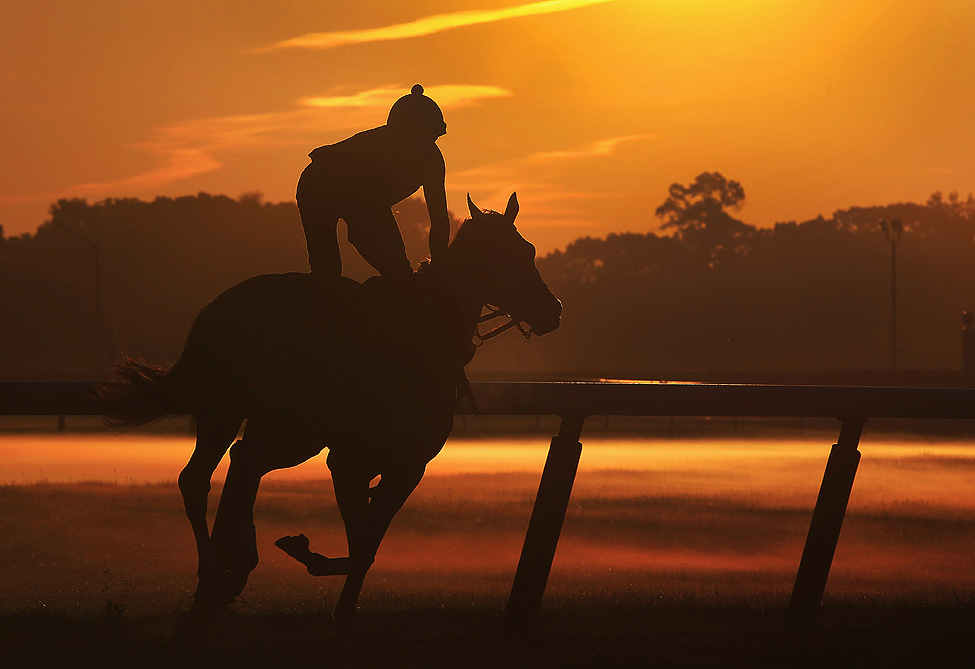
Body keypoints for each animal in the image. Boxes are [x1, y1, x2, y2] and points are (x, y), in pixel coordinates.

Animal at [97, 193, 564, 628]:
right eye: (513, 256)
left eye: (530, 249)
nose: (553, 311)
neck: (426, 335)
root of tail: (214, 310)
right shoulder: (351, 460)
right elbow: (361, 546)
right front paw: (305, 555)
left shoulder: (406, 466)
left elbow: (369, 545)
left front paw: (342, 607)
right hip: (246, 414)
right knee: (209, 474)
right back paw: (218, 572)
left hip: (272, 424)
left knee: (237, 463)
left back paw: (230, 569)